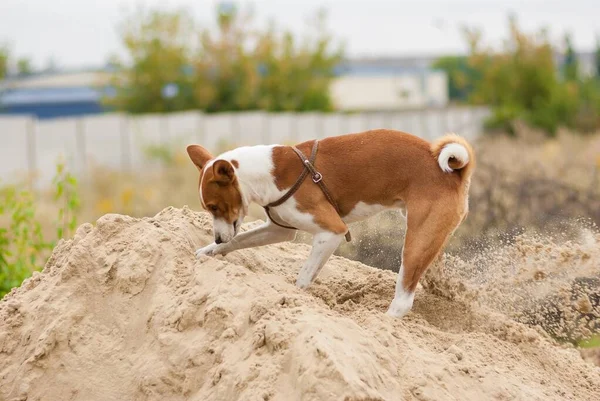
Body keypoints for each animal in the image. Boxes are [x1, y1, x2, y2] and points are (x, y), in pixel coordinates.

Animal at [185, 130, 476, 318]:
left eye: (214, 206)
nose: (217, 237)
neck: (268, 174)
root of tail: (455, 174)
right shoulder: (278, 229)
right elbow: (238, 240)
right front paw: (209, 250)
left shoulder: (332, 231)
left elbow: (302, 279)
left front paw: (295, 298)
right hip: (426, 236)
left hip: (413, 245)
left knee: (403, 300)